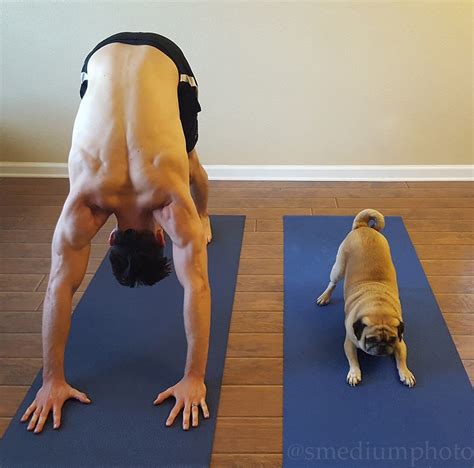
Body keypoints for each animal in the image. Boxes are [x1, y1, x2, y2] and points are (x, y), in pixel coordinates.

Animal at [318, 208, 414, 388]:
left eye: (391, 339)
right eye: (371, 339)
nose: (382, 347)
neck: (378, 305)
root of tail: (363, 227)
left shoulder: (400, 342)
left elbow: (402, 359)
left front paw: (405, 373)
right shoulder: (349, 342)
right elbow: (353, 360)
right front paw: (354, 373)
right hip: (338, 268)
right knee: (332, 283)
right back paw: (324, 297)